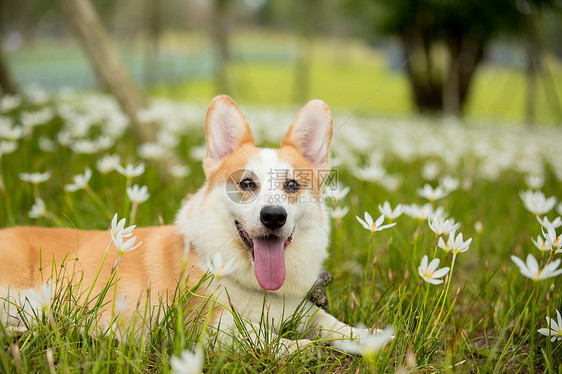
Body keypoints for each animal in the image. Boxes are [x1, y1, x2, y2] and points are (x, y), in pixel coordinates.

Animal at [1, 95, 376, 356]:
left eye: (293, 186)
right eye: (246, 183)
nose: (273, 216)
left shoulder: (302, 309)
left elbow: (331, 323)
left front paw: (368, 338)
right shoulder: (208, 328)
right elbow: (258, 336)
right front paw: (300, 347)